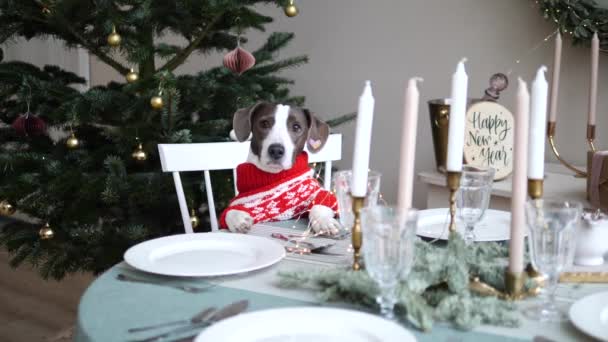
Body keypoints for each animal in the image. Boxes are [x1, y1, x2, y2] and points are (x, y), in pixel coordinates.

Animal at [220, 101, 342, 235]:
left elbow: (320, 204)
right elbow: (229, 211)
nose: (276, 150)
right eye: (264, 123)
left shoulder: (321, 194)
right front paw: (238, 219)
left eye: (296, 127)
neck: (275, 175)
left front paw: (323, 221)